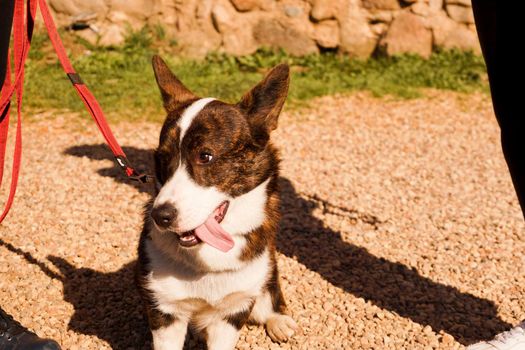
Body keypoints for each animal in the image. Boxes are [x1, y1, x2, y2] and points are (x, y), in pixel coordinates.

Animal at [135, 55, 296, 350]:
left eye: (205, 156)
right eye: (163, 158)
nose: (160, 217)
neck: (205, 261)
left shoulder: (231, 314)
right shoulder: (165, 313)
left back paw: (278, 320)